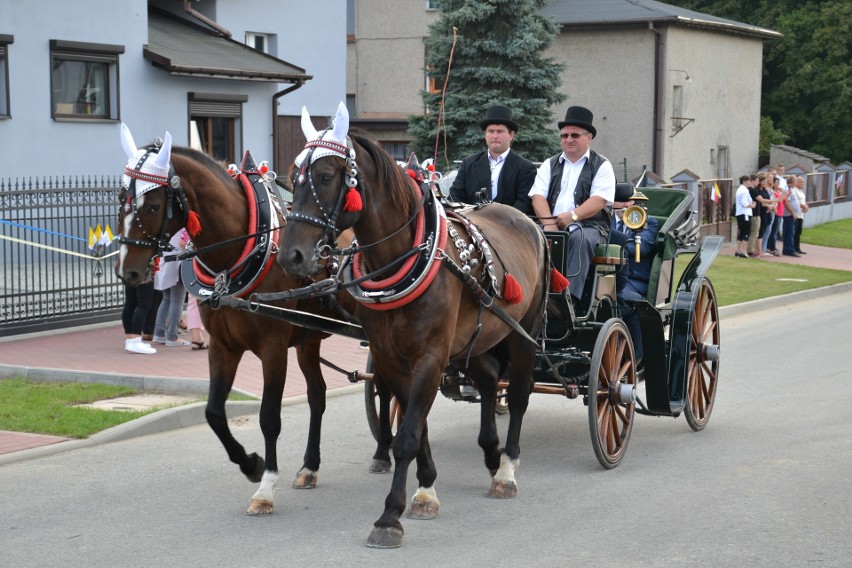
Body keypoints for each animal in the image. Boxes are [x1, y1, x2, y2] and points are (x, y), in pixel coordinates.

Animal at [112, 123, 356, 516]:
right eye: (120, 200)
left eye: (152, 205)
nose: (127, 272)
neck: (238, 253)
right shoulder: (223, 347)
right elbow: (213, 412)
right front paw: (251, 464)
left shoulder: (273, 348)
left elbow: (269, 417)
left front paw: (265, 488)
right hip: (309, 340)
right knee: (318, 396)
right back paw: (310, 467)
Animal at [276, 104, 548, 548]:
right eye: (293, 174)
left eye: (326, 176)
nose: (290, 256)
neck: (403, 257)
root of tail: (525, 220)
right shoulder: (390, 356)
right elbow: (414, 425)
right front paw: (425, 488)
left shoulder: (431, 356)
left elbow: (406, 435)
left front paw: (390, 515)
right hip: (475, 338)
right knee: (490, 379)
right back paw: (491, 454)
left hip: (523, 331)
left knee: (520, 393)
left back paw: (507, 469)